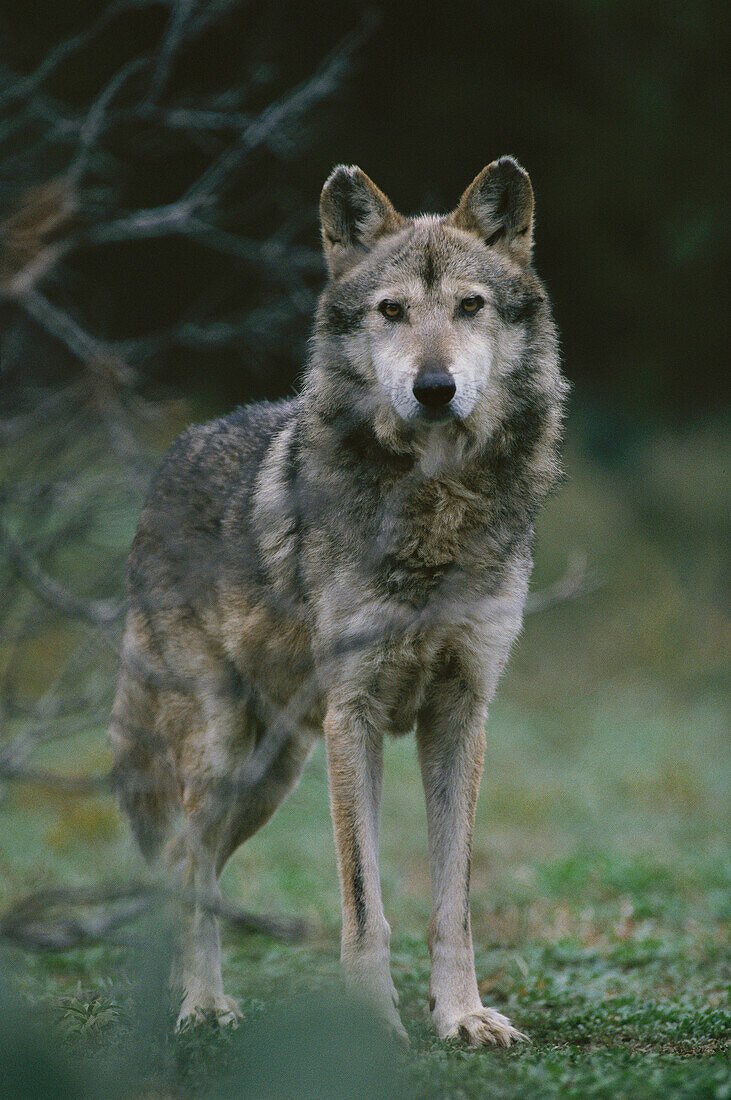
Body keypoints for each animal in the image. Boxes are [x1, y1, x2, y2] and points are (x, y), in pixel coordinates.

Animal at [108, 152, 567, 1038]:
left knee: (186, 865)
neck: (433, 508)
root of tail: (168, 461)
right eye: (392, 311)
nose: (434, 387)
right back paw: (203, 1005)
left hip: (273, 772)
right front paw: (371, 1024)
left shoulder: (461, 714)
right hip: (225, 754)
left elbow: (452, 900)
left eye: (469, 306)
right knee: (188, 867)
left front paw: (463, 1016)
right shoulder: (353, 715)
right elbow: (363, 900)